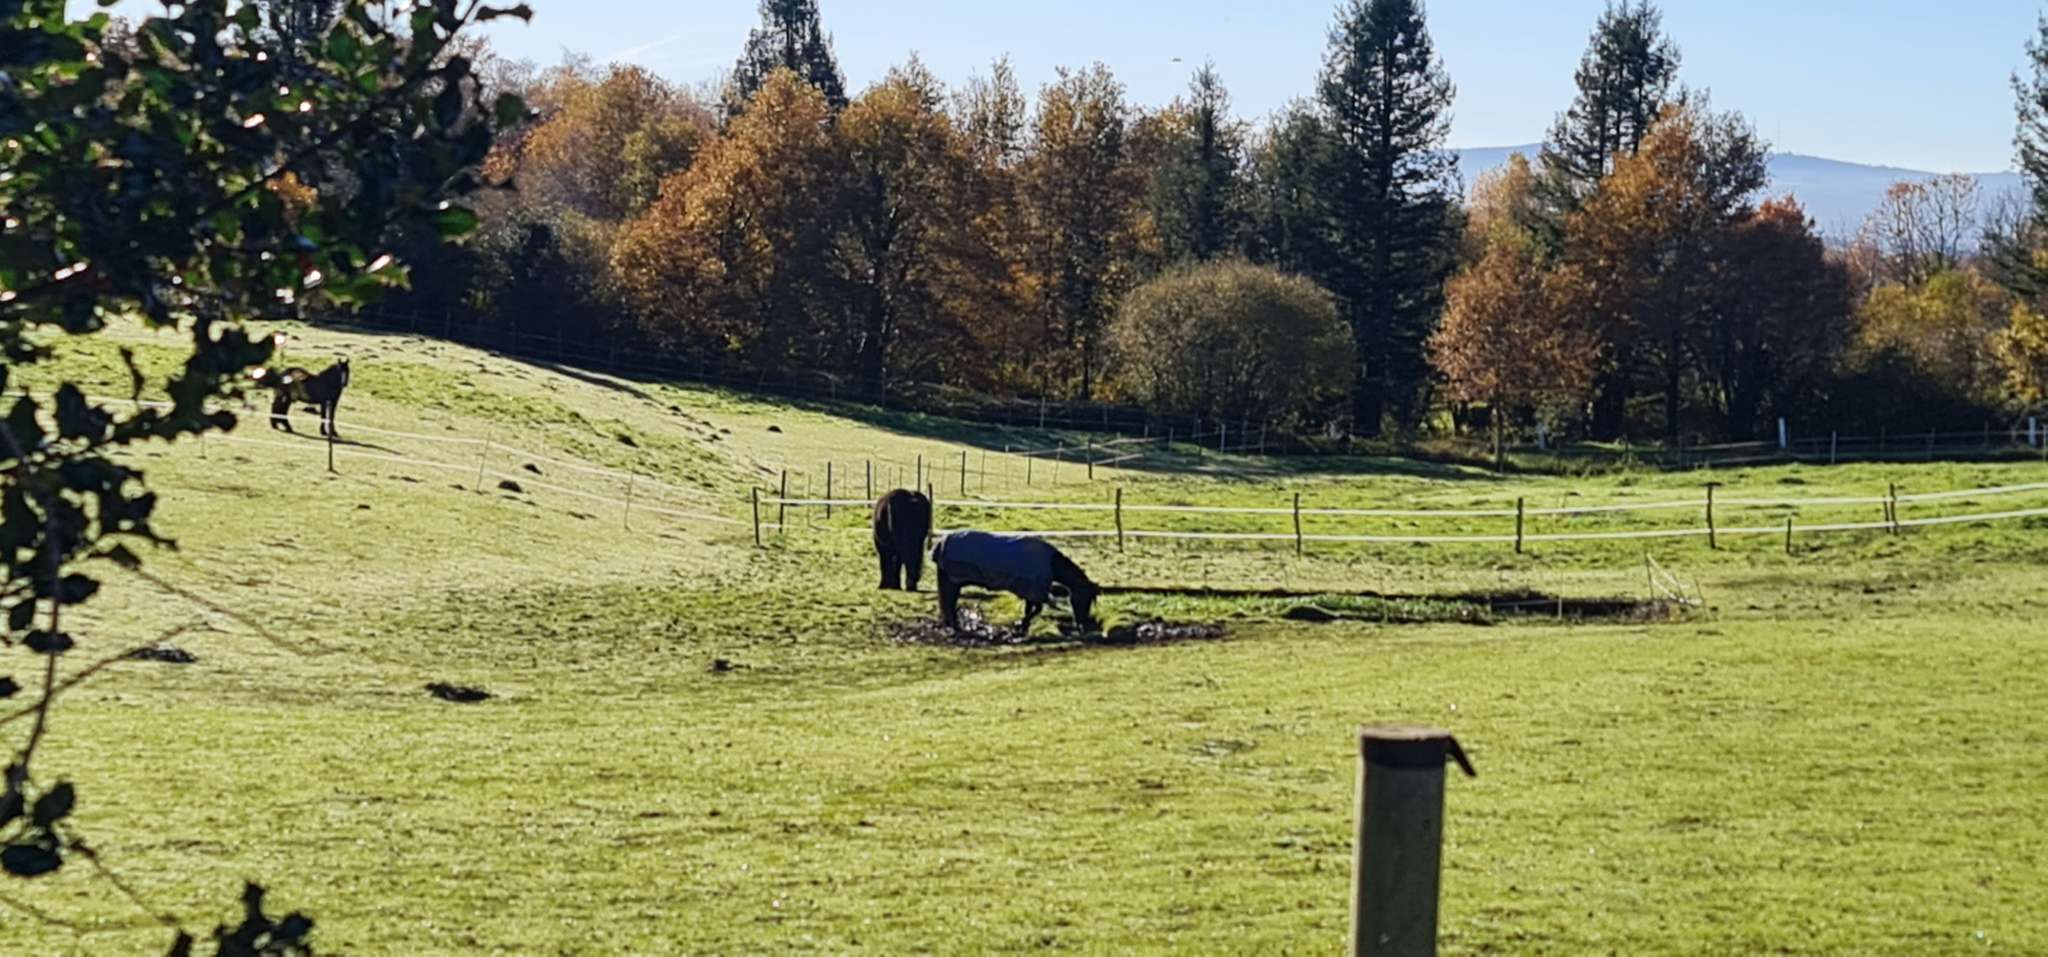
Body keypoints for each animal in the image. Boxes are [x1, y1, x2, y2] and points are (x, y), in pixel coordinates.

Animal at [930, 530, 1100, 635]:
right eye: (1084, 599)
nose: (1082, 624)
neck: (1051, 563)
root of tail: (941, 543)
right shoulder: (1033, 591)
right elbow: (1035, 610)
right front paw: (1021, 626)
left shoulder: (1030, 593)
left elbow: (1030, 610)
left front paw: (1022, 627)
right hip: (952, 582)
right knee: (949, 603)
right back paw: (955, 627)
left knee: (949, 604)